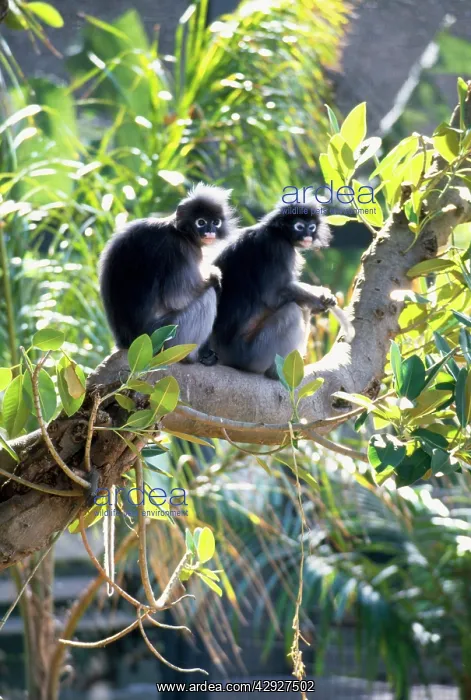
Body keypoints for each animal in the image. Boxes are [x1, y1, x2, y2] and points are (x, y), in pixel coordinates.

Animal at [99, 184, 237, 364]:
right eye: (201, 222)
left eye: (215, 222)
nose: (209, 232)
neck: (178, 231)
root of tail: (126, 343)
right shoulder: (181, 251)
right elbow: (176, 297)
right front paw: (215, 275)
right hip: (166, 339)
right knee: (208, 296)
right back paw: (191, 357)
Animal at [211, 201, 354, 379]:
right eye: (299, 226)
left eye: (311, 227)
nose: (307, 236)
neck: (278, 232)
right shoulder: (278, 248)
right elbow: (274, 294)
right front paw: (320, 299)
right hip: (253, 353)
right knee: (293, 310)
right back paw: (278, 372)